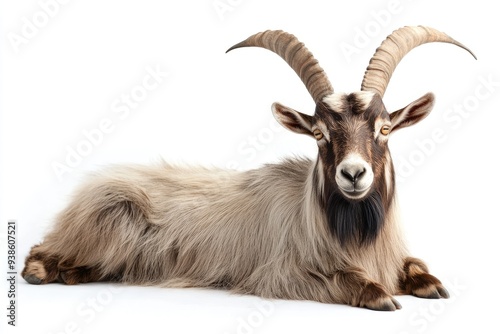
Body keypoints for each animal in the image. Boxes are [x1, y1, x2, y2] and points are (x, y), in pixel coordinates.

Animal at [24, 26, 476, 310]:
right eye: (319, 134)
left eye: (384, 128)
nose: (353, 174)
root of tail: (82, 196)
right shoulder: (283, 273)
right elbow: (345, 280)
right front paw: (380, 295)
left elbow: (417, 267)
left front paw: (432, 285)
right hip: (110, 225)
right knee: (38, 254)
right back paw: (46, 271)